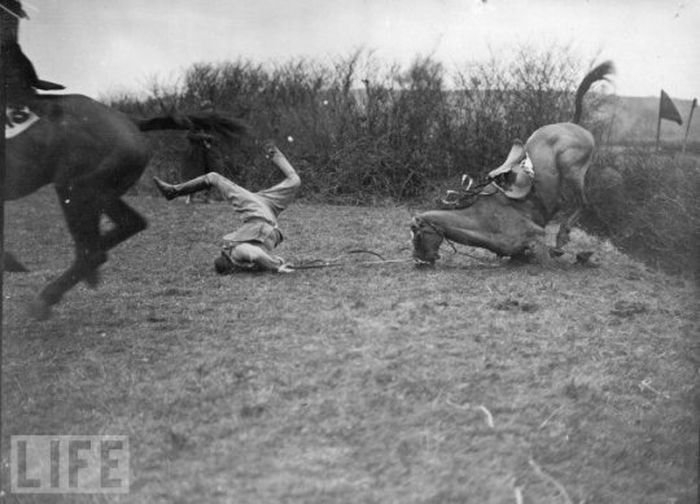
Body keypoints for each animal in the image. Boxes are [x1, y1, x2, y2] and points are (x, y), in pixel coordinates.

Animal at [2, 94, 247, 318]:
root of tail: (129, 120)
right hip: (97, 191)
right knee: (127, 226)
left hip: (76, 188)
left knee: (96, 249)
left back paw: (48, 295)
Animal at [410, 61, 612, 266]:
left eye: (418, 234)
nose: (419, 260)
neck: (483, 219)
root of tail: (571, 124)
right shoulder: (517, 253)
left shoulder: (537, 239)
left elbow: (548, 258)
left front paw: (578, 255)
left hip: (572, 171)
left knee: (584, 204)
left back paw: (563, 237)